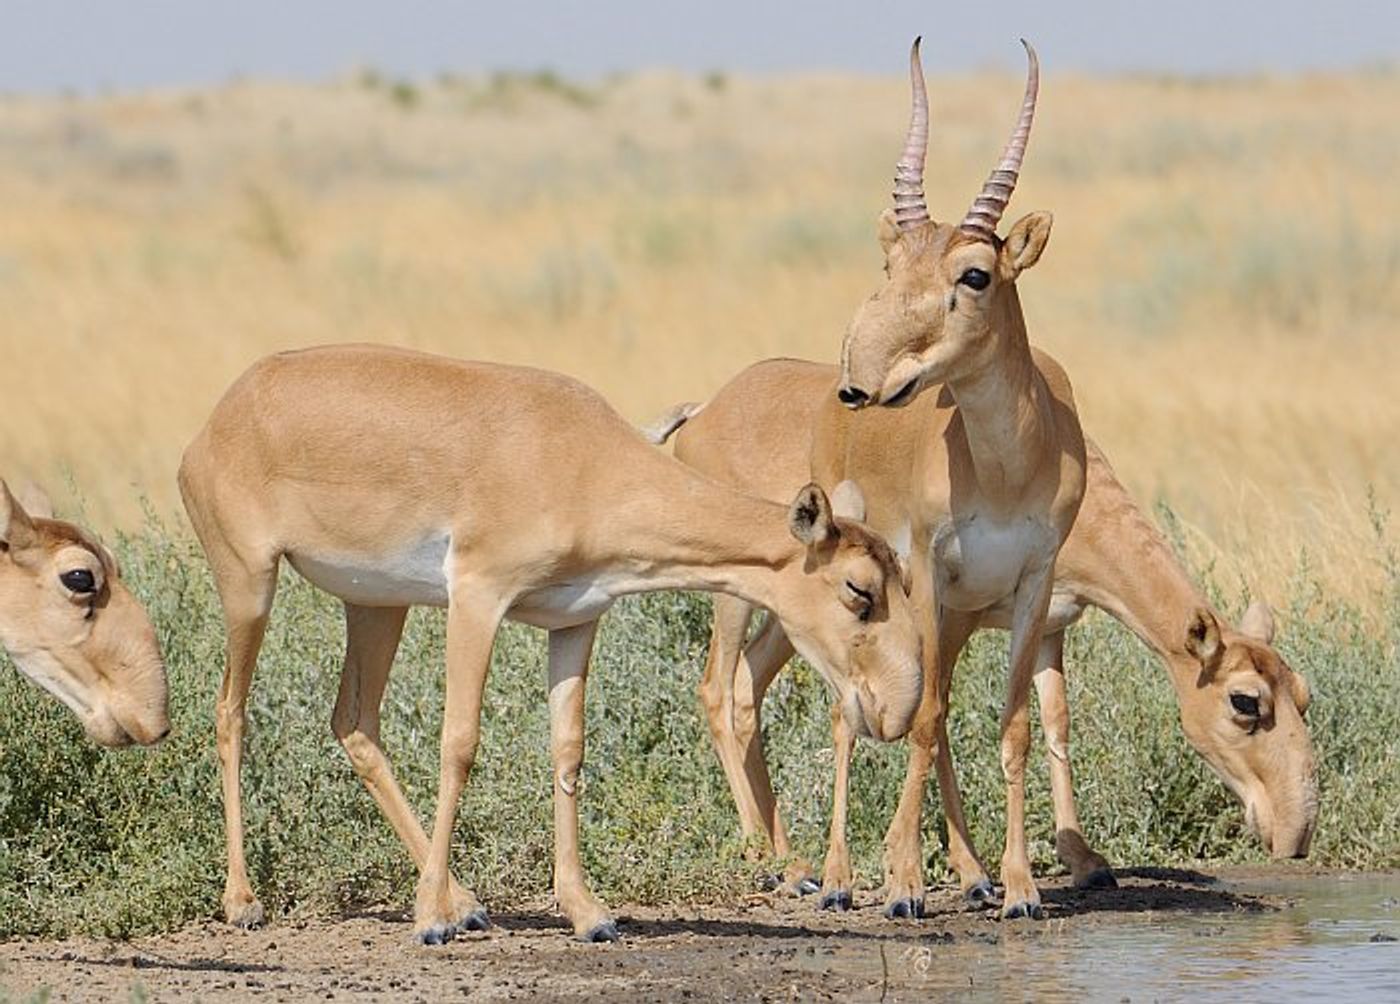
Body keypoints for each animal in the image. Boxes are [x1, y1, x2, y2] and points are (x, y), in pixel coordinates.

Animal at [180, 343, 924, 940]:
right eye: (859, 590)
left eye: (901, 575)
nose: (892, 712)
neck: (578, 458)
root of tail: (217, 421)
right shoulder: (477, 599)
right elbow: (459, 743)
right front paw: (427, 921)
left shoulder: (573, 623)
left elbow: (568, 750)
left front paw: (588, 912)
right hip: (251, 587)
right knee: (229, 713)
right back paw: (246, 902)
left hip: (374, 607)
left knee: (354, 724)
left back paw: (465, 901)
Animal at [649, 354, 1316, 907]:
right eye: (1245, 701)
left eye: (1304, 695)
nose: (1298, 833)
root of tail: (704, 408)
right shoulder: (955, 614)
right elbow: (936, 717)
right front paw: (966, 872)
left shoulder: (1048, 625)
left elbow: (1052, 722)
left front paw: (1081, 859)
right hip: (738, 597)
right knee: (718, 687)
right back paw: (776, 862)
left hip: (796, 619)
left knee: (748, 684)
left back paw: (792, 861)